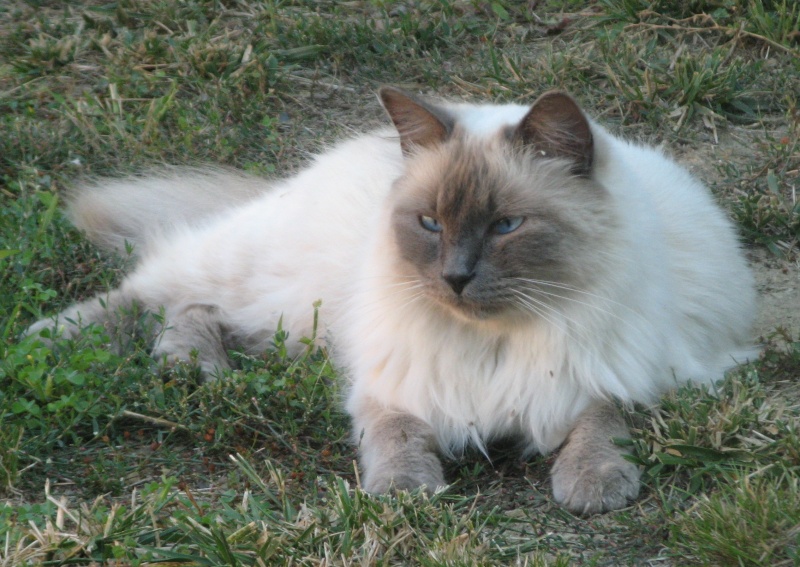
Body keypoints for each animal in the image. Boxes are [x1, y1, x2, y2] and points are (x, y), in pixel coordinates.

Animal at [25, 87, 756, 516]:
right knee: (156, 289)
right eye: (430, 223)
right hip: (278, 287)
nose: (455, 278)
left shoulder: (631, 374)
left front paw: (593, 486)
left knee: (199, 310)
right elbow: (395, 436)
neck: (491, 340)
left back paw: (193, 367)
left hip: (295, 323)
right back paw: (50, 344)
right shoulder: (393, 383)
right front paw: (406, 493)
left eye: (505, 226)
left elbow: (600, 423)